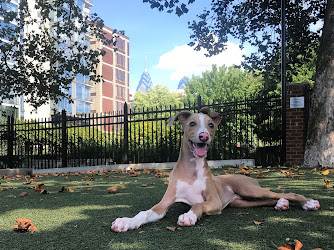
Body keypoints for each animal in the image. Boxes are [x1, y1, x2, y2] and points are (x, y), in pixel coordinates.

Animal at [111, 107, 320, 232]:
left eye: (211, 125)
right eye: (192, 124)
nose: (204, 136)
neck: (192, 170)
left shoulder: (213, 201)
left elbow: (198, 205)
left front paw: (189, 216)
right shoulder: (164, 203)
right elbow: (145, 213)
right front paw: (127, 221)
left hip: (248, 189)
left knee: (286, 193)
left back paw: (308, 202)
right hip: (241, 202)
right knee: (269, 200)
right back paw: (281, 204)